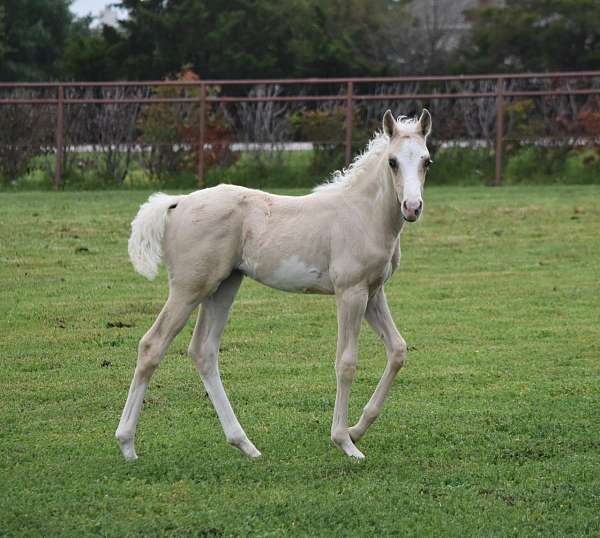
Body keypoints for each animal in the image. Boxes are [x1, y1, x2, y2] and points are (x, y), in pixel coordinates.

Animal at [116, 110, 432, 460]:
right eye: (392, 161)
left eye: (426, 161)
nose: (412, 207)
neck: (363, 214)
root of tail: (179, 202)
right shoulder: (350, 293)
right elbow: (346, 362)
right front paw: (345, 442)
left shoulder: (373, 293)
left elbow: (397, 350)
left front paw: (356, 429)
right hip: (189, 289)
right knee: (152, 345)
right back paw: (127, 445)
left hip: (223, 287)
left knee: (203, 351)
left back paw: (245, 445)